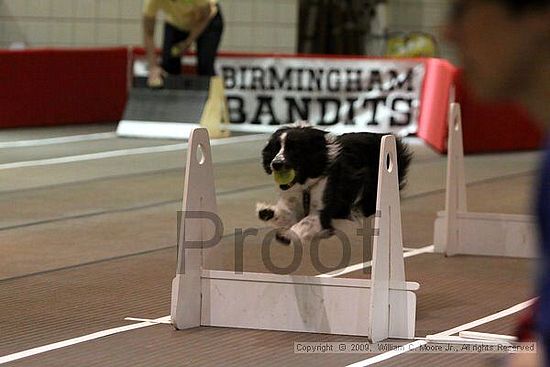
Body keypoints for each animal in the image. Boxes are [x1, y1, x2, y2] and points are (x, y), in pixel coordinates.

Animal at [256, 125, 412, 246]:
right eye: (276, 148)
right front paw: (266, 211)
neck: (307, 185)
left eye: (294, 149)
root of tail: (389, 136)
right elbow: (285, 214)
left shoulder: (325, 209)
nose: (276, 164)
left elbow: (307, 221)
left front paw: (287, 234)